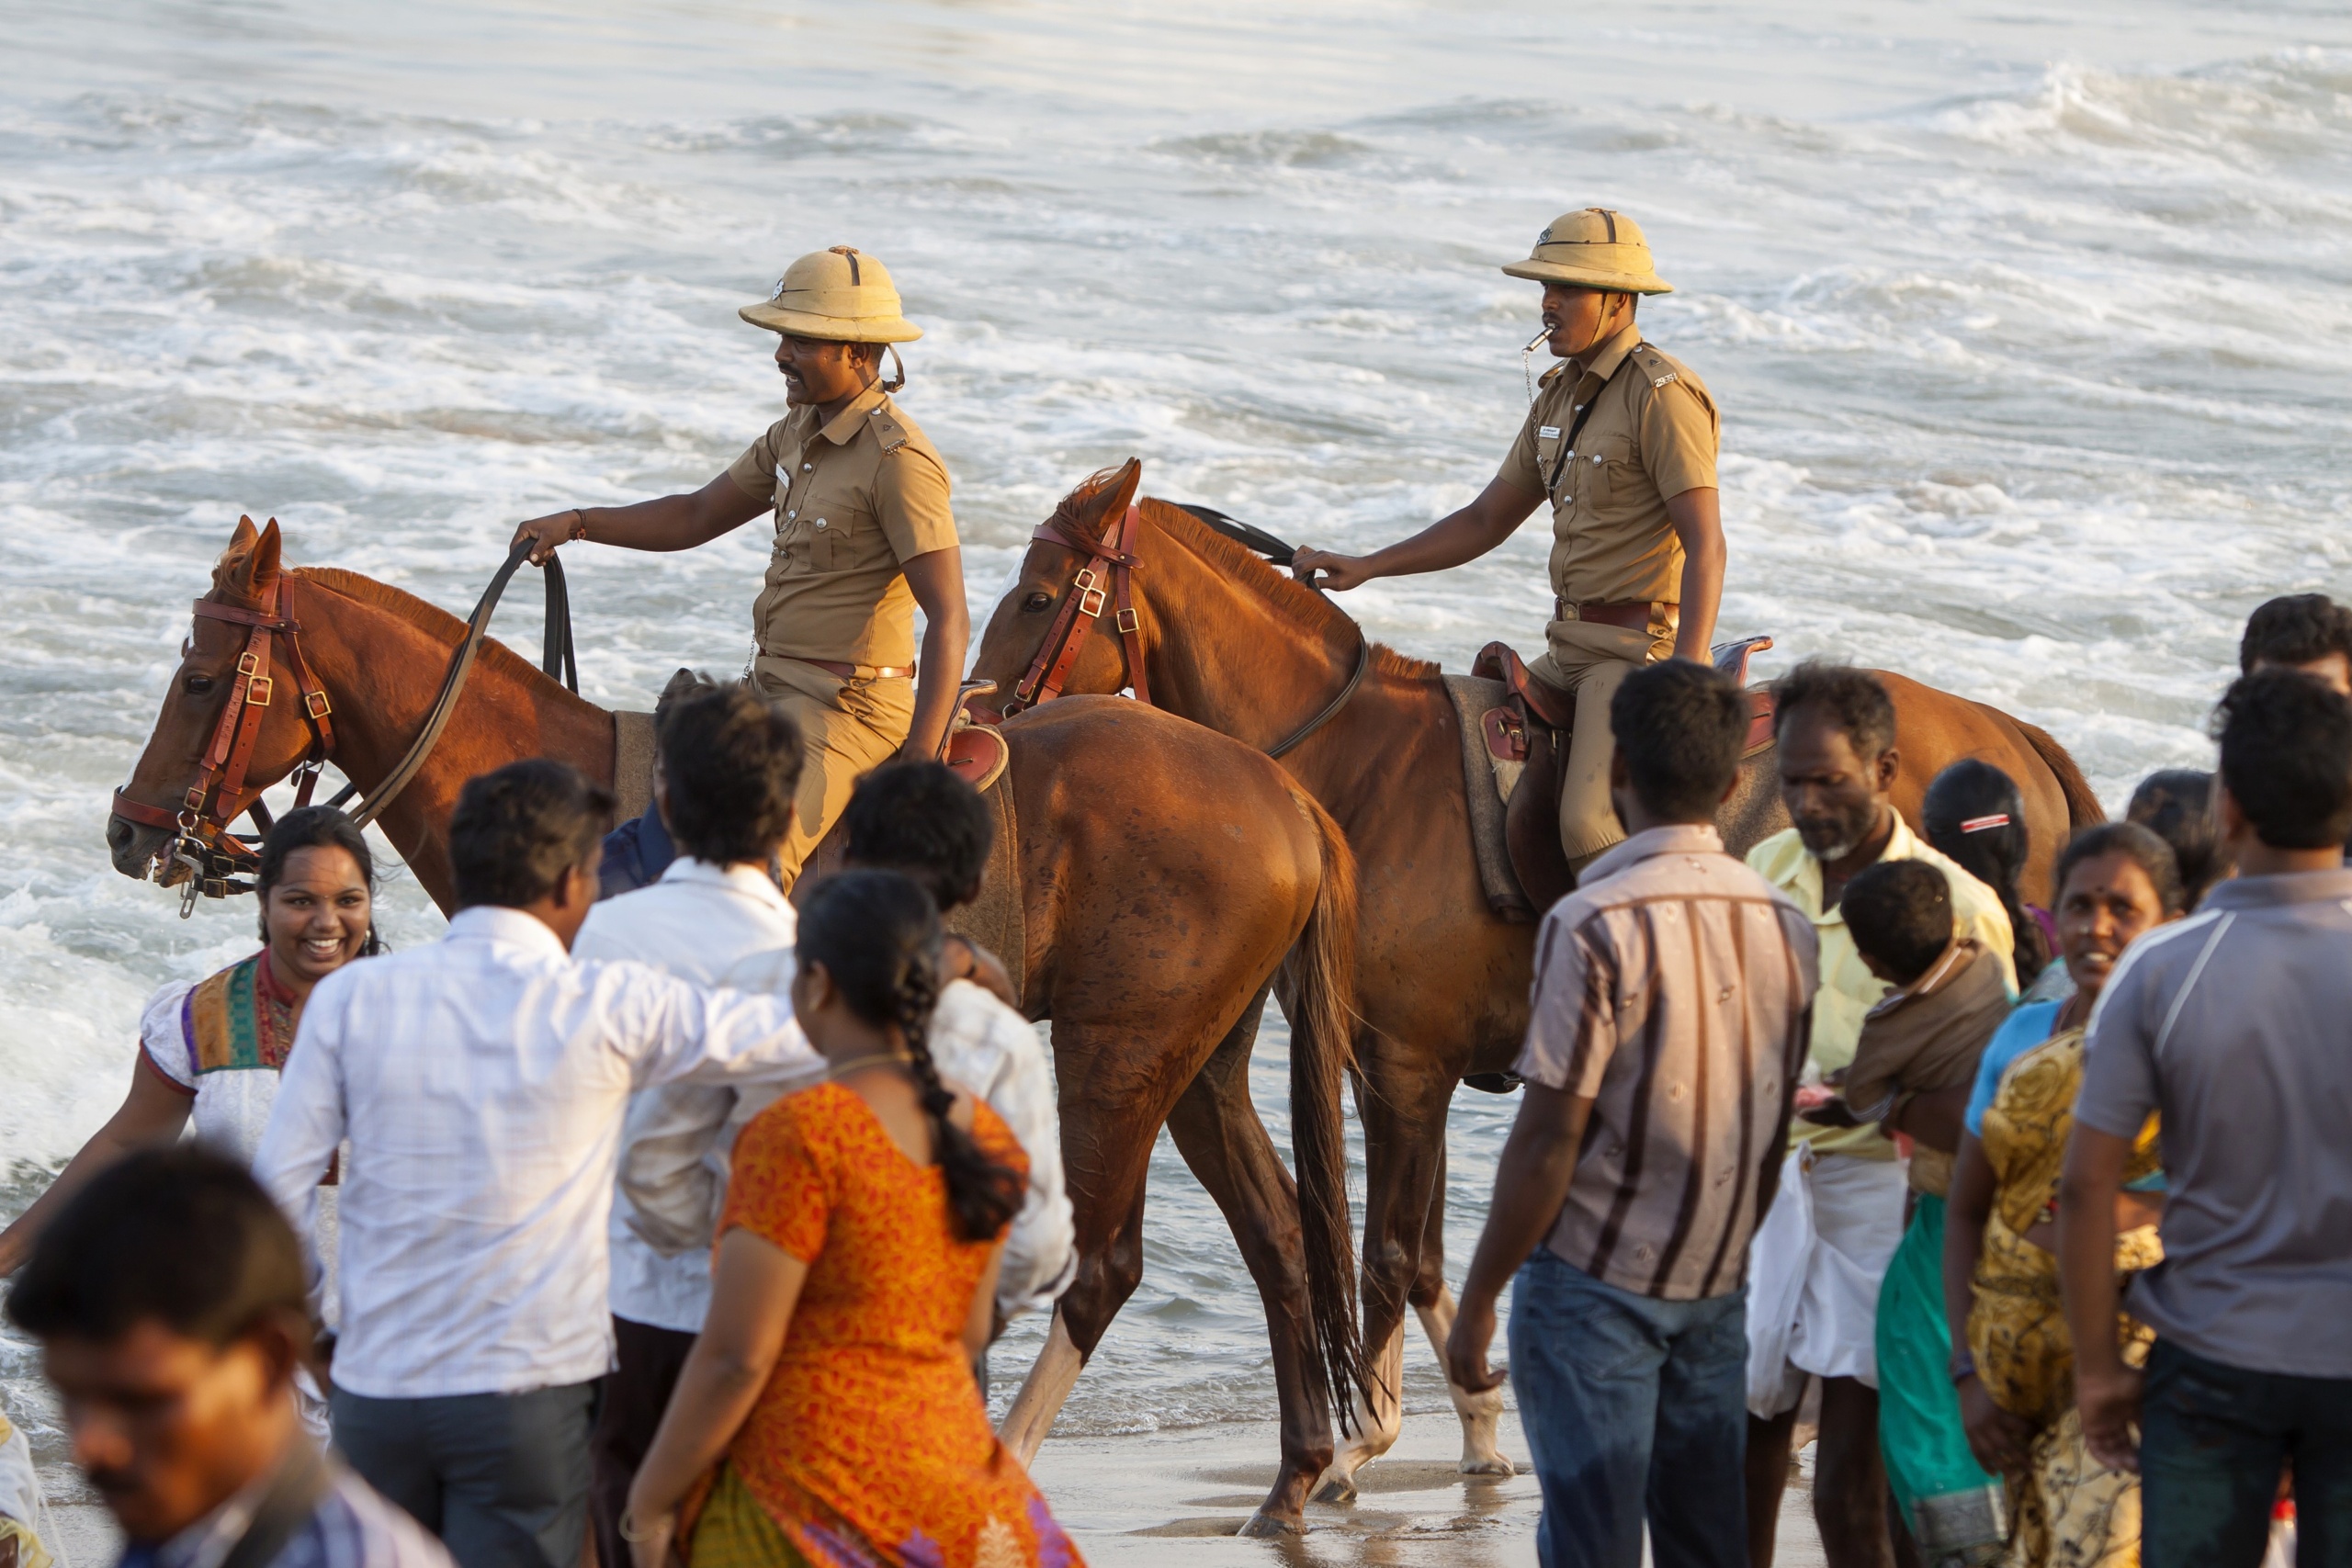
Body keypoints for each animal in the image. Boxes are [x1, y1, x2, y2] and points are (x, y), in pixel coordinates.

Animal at [114, 517, 1374, 1532]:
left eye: (200, 676)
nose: (131, 832)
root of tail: (1284, 794)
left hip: (1118, 1054)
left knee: (1103, 1264)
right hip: (1199, 1061)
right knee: (1278, 1233)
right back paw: (1293, 1478)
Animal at [964, 463, 2107, 1495]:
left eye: (1036, 598)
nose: (976, 716)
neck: (1358, 770)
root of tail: (2010, 732)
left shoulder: (1406, 1068)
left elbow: (1391, 1251)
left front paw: (1372, 1435)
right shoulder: (1394, 1068)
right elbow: (1425, 1256)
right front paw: (1467, 1418)